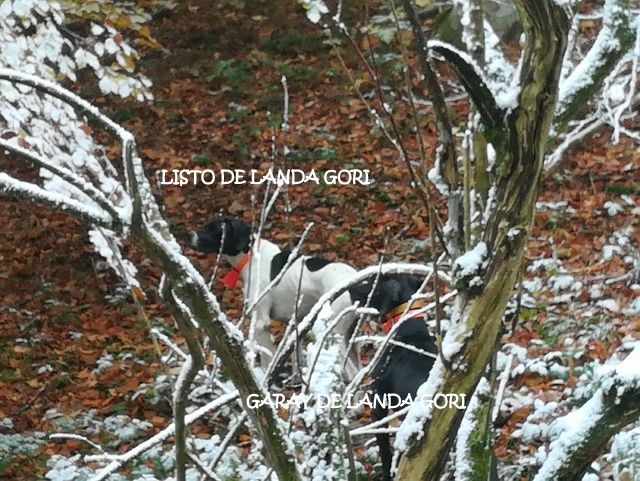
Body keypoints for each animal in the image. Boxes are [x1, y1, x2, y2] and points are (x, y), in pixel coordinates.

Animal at [189, 216, 360, 376]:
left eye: (212, 228)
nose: (189, 235)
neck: (251, 255)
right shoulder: (294, 324)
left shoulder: (261, 322)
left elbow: (267, 359)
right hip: (350, 339)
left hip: (334, 333)